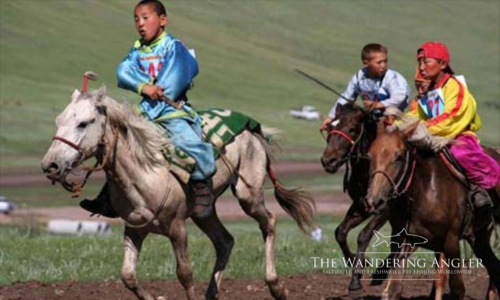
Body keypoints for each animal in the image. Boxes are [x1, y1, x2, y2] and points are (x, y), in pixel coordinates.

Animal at [41, 77, 314, 298]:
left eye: (84, 123)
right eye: (59, 121)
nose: (50, 165)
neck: (145, 173)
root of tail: (251, 128)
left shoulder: (177, 227)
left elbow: (184, 273)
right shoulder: (134, 229)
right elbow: (128, 276)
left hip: (249, 196)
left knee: (269, 222)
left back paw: (276, 287)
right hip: (204, 212)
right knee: (225, 241)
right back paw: (211, 293)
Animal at [364, 113, 500, 298]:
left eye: (399, 156)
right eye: (370, 156)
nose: (374, 200)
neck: (423, 189)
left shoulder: (450, 240)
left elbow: (457, 287)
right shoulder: (403, 240)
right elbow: (395, 288)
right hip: (479, 238)